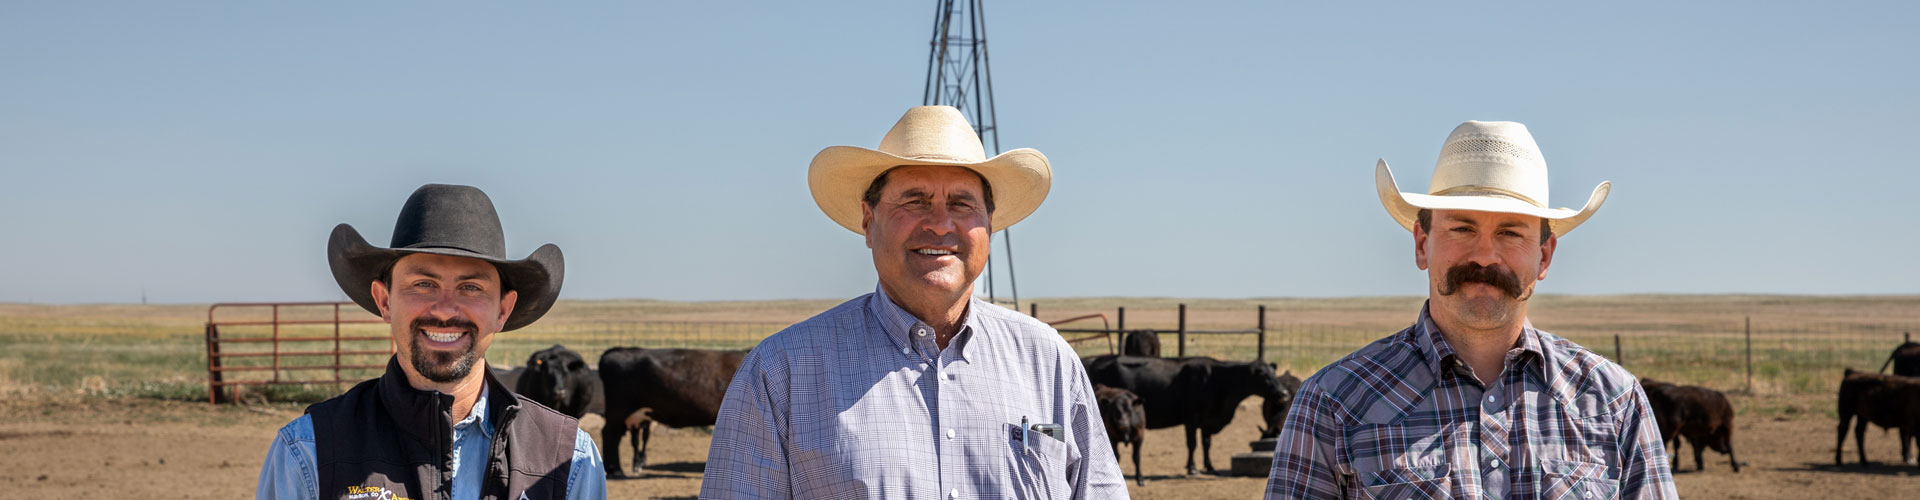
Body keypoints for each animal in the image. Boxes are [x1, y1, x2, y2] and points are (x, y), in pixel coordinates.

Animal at [1082, 353, 1290, 475]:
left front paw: (1210, 466)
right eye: (1263, 375)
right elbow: (1192, 444)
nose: (1284, 393)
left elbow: (1206, 443)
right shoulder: (1191, 419)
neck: (1217, 379)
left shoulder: (1207, 420)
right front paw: (1192, 468)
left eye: (1273, 373)